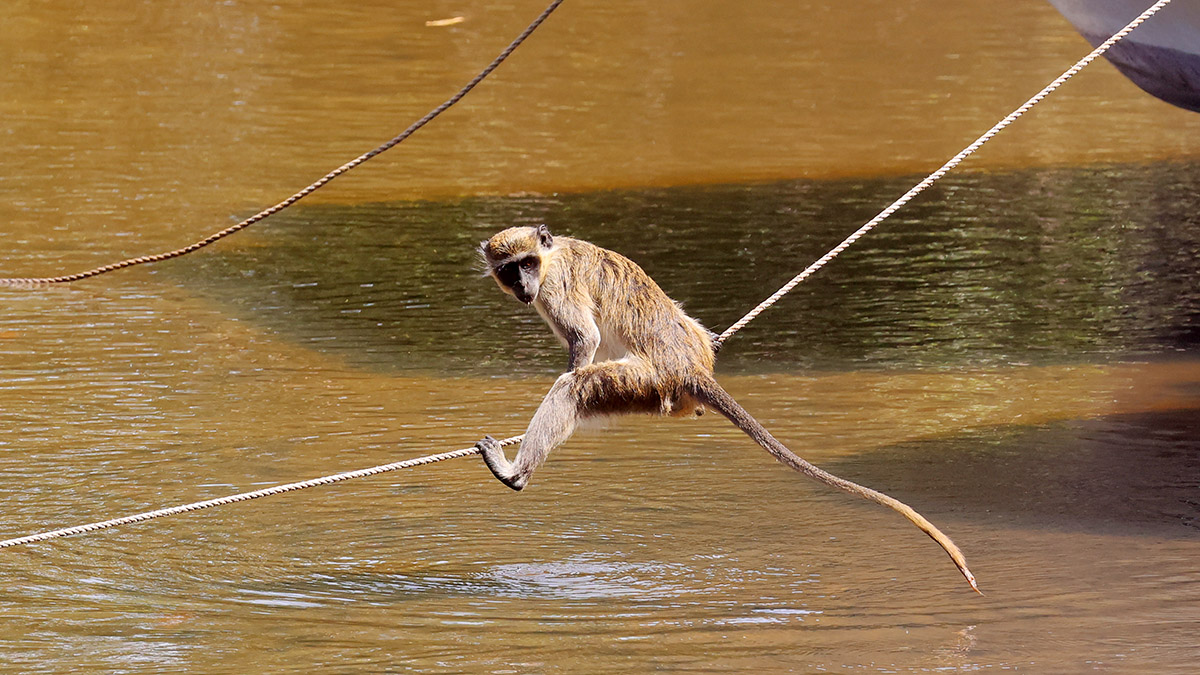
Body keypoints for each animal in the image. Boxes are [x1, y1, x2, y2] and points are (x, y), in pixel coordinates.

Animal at [475, 224, 979, 593]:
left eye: (527, 263)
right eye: (508, 269)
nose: (522, 285)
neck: (553, 255)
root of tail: (691, 367)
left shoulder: (555, 288)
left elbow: (585, 342)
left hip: (645, 381)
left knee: (573, 388)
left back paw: (515, 472)